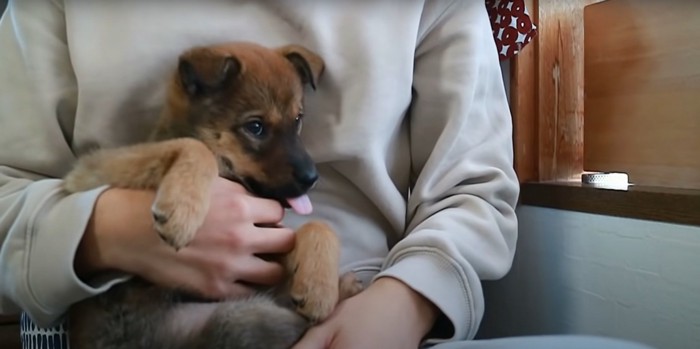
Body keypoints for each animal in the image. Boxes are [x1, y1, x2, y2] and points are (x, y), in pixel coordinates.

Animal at [63, 42, 364, 348]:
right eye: (255, 127)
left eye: (298, 120)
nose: (311, 179)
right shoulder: (86, 173)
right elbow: (194, 146)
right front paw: (182, 213)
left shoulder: (264, 246)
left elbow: (318, 226)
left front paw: (319, 290)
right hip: (245, 316)